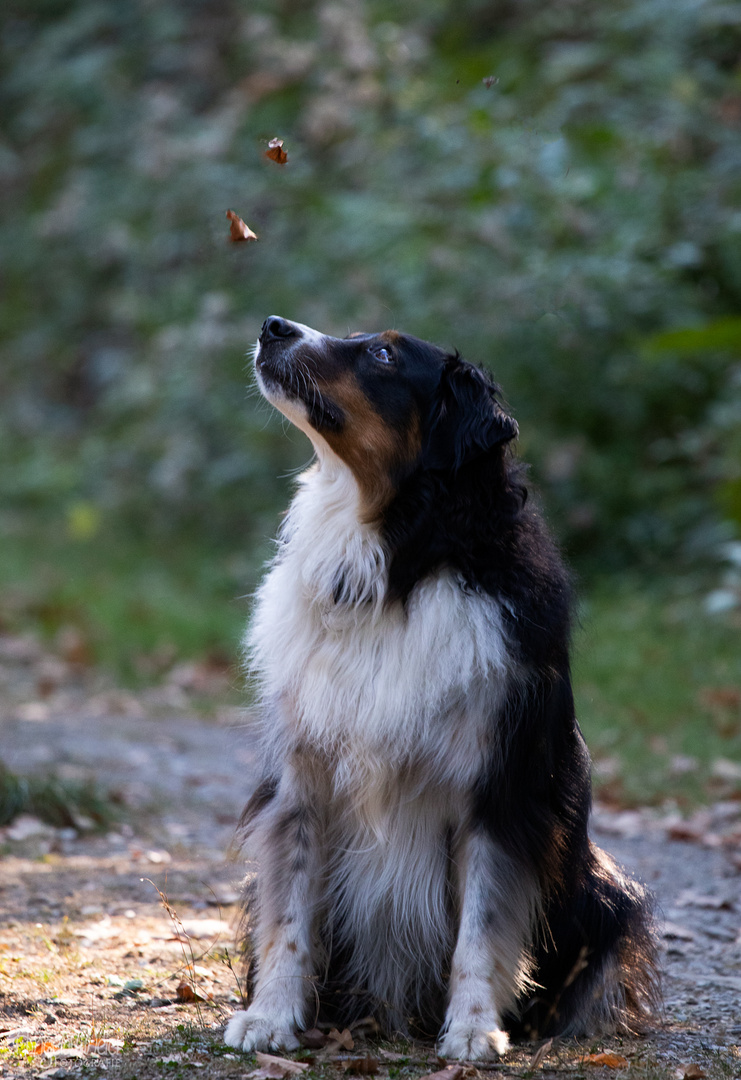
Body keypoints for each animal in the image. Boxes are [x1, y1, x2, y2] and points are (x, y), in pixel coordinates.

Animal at [223, 315, 661, 1058]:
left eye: (382, 354)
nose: (272, 325)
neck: (396, 568)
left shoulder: (498, 794)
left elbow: (481, 930)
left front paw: (474, 1029)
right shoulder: (301, 783)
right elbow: (290, 919)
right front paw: (272, 1017)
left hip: (610, 898)